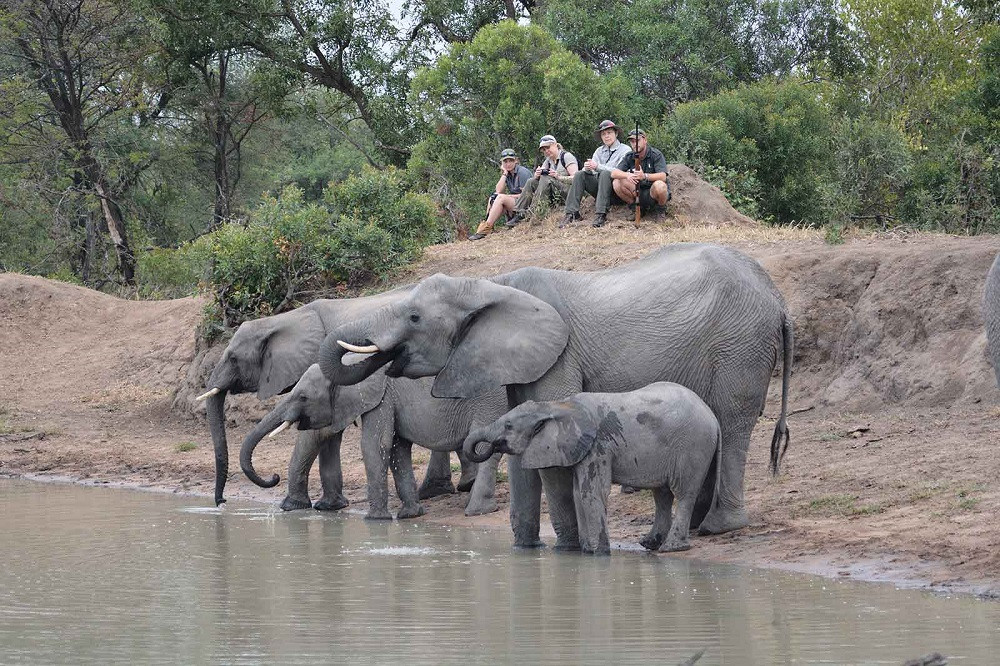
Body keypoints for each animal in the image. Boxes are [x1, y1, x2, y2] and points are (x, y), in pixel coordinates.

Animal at [198, 282, 476, 506]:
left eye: (233, 358)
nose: (221, 502)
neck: (285, 319)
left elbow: (318, 432)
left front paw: (292, 506)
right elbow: (327, 430)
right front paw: (329, 506)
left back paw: (457, 487)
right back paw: (442, 490)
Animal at [240, 364, 508, 520]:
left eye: (303, 397)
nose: (273, 477)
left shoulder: (382, 396)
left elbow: (374, 444)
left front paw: (375, 520)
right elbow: (397, 448)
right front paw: (410, 516)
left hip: (488, 401)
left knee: (484, 449)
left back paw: (477, 511)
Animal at [464, 382, 724, 552]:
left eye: (508, 425)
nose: (490, 446)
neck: (555, 406)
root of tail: (713, 417)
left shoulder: (599, 446)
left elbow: (591, 492)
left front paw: (599, 553)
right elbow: (578, 492)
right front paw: (587, 551)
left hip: (693, 446)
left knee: (683, 493)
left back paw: (671, 548)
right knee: (662, 495)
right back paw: (650, 544)